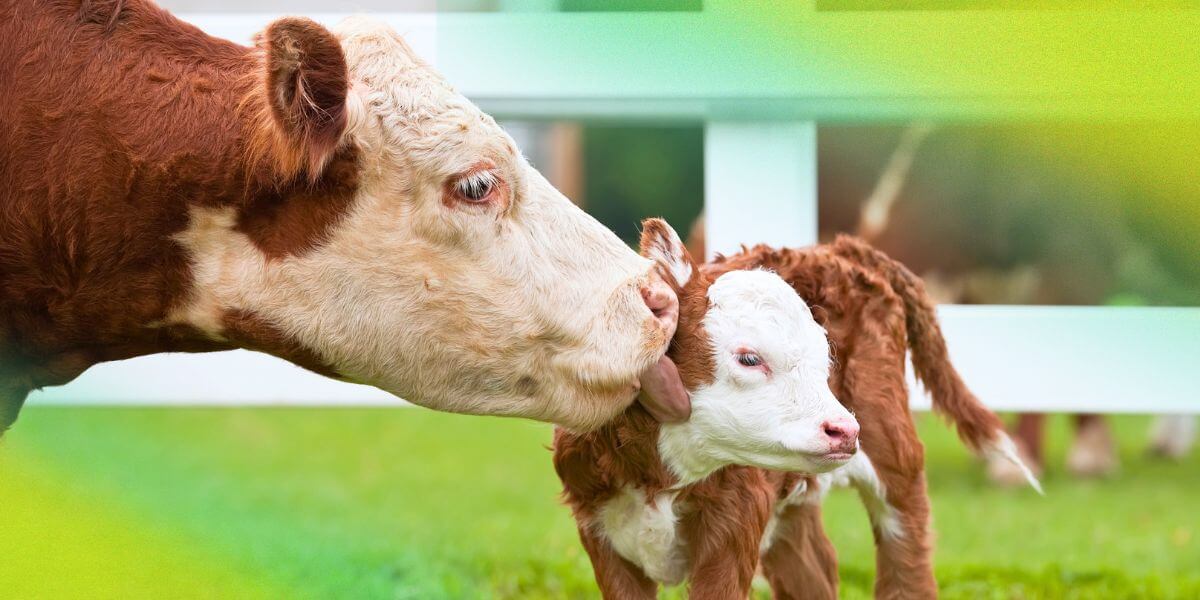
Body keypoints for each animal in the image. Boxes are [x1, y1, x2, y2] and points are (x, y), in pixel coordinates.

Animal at [555, 219, 1038, 599]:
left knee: (907, 552)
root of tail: (836, 247)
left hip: (894, 449)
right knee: (815, 568)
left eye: (825, 360)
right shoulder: (598, 527)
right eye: (750, 358)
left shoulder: (735, 520)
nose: (843, 430)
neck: (659, 476)